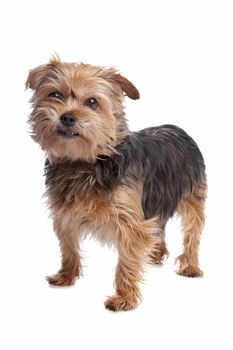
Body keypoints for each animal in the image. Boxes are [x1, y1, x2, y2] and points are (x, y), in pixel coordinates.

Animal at [25, 57, 207, 312]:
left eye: (92, 102)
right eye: (55, 94)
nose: (67, 117)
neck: (86, 162)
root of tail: (179, 129)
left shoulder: (130, 220)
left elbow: (127, 260)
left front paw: (124, 298)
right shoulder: (64, 213)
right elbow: (68, 247)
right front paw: (66, 276)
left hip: (192, 196)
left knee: (193, 231)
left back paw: (190, 265)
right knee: (158, 225)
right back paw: (155, 253)